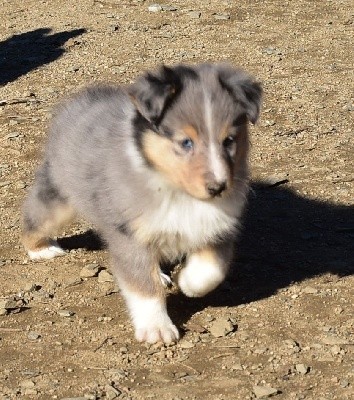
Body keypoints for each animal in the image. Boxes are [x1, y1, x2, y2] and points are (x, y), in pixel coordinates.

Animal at [21, 62, 260, 344]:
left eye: (229, 140)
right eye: (185, 142)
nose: (218, 187)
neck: (178, 192)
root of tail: (82, 99)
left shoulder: (218, 227)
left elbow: (213, 269)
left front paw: (188, 282)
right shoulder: (130, 233)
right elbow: (144, 286)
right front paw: (157, 328)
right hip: (60, 194)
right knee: (35, 214)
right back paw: (41, 249)